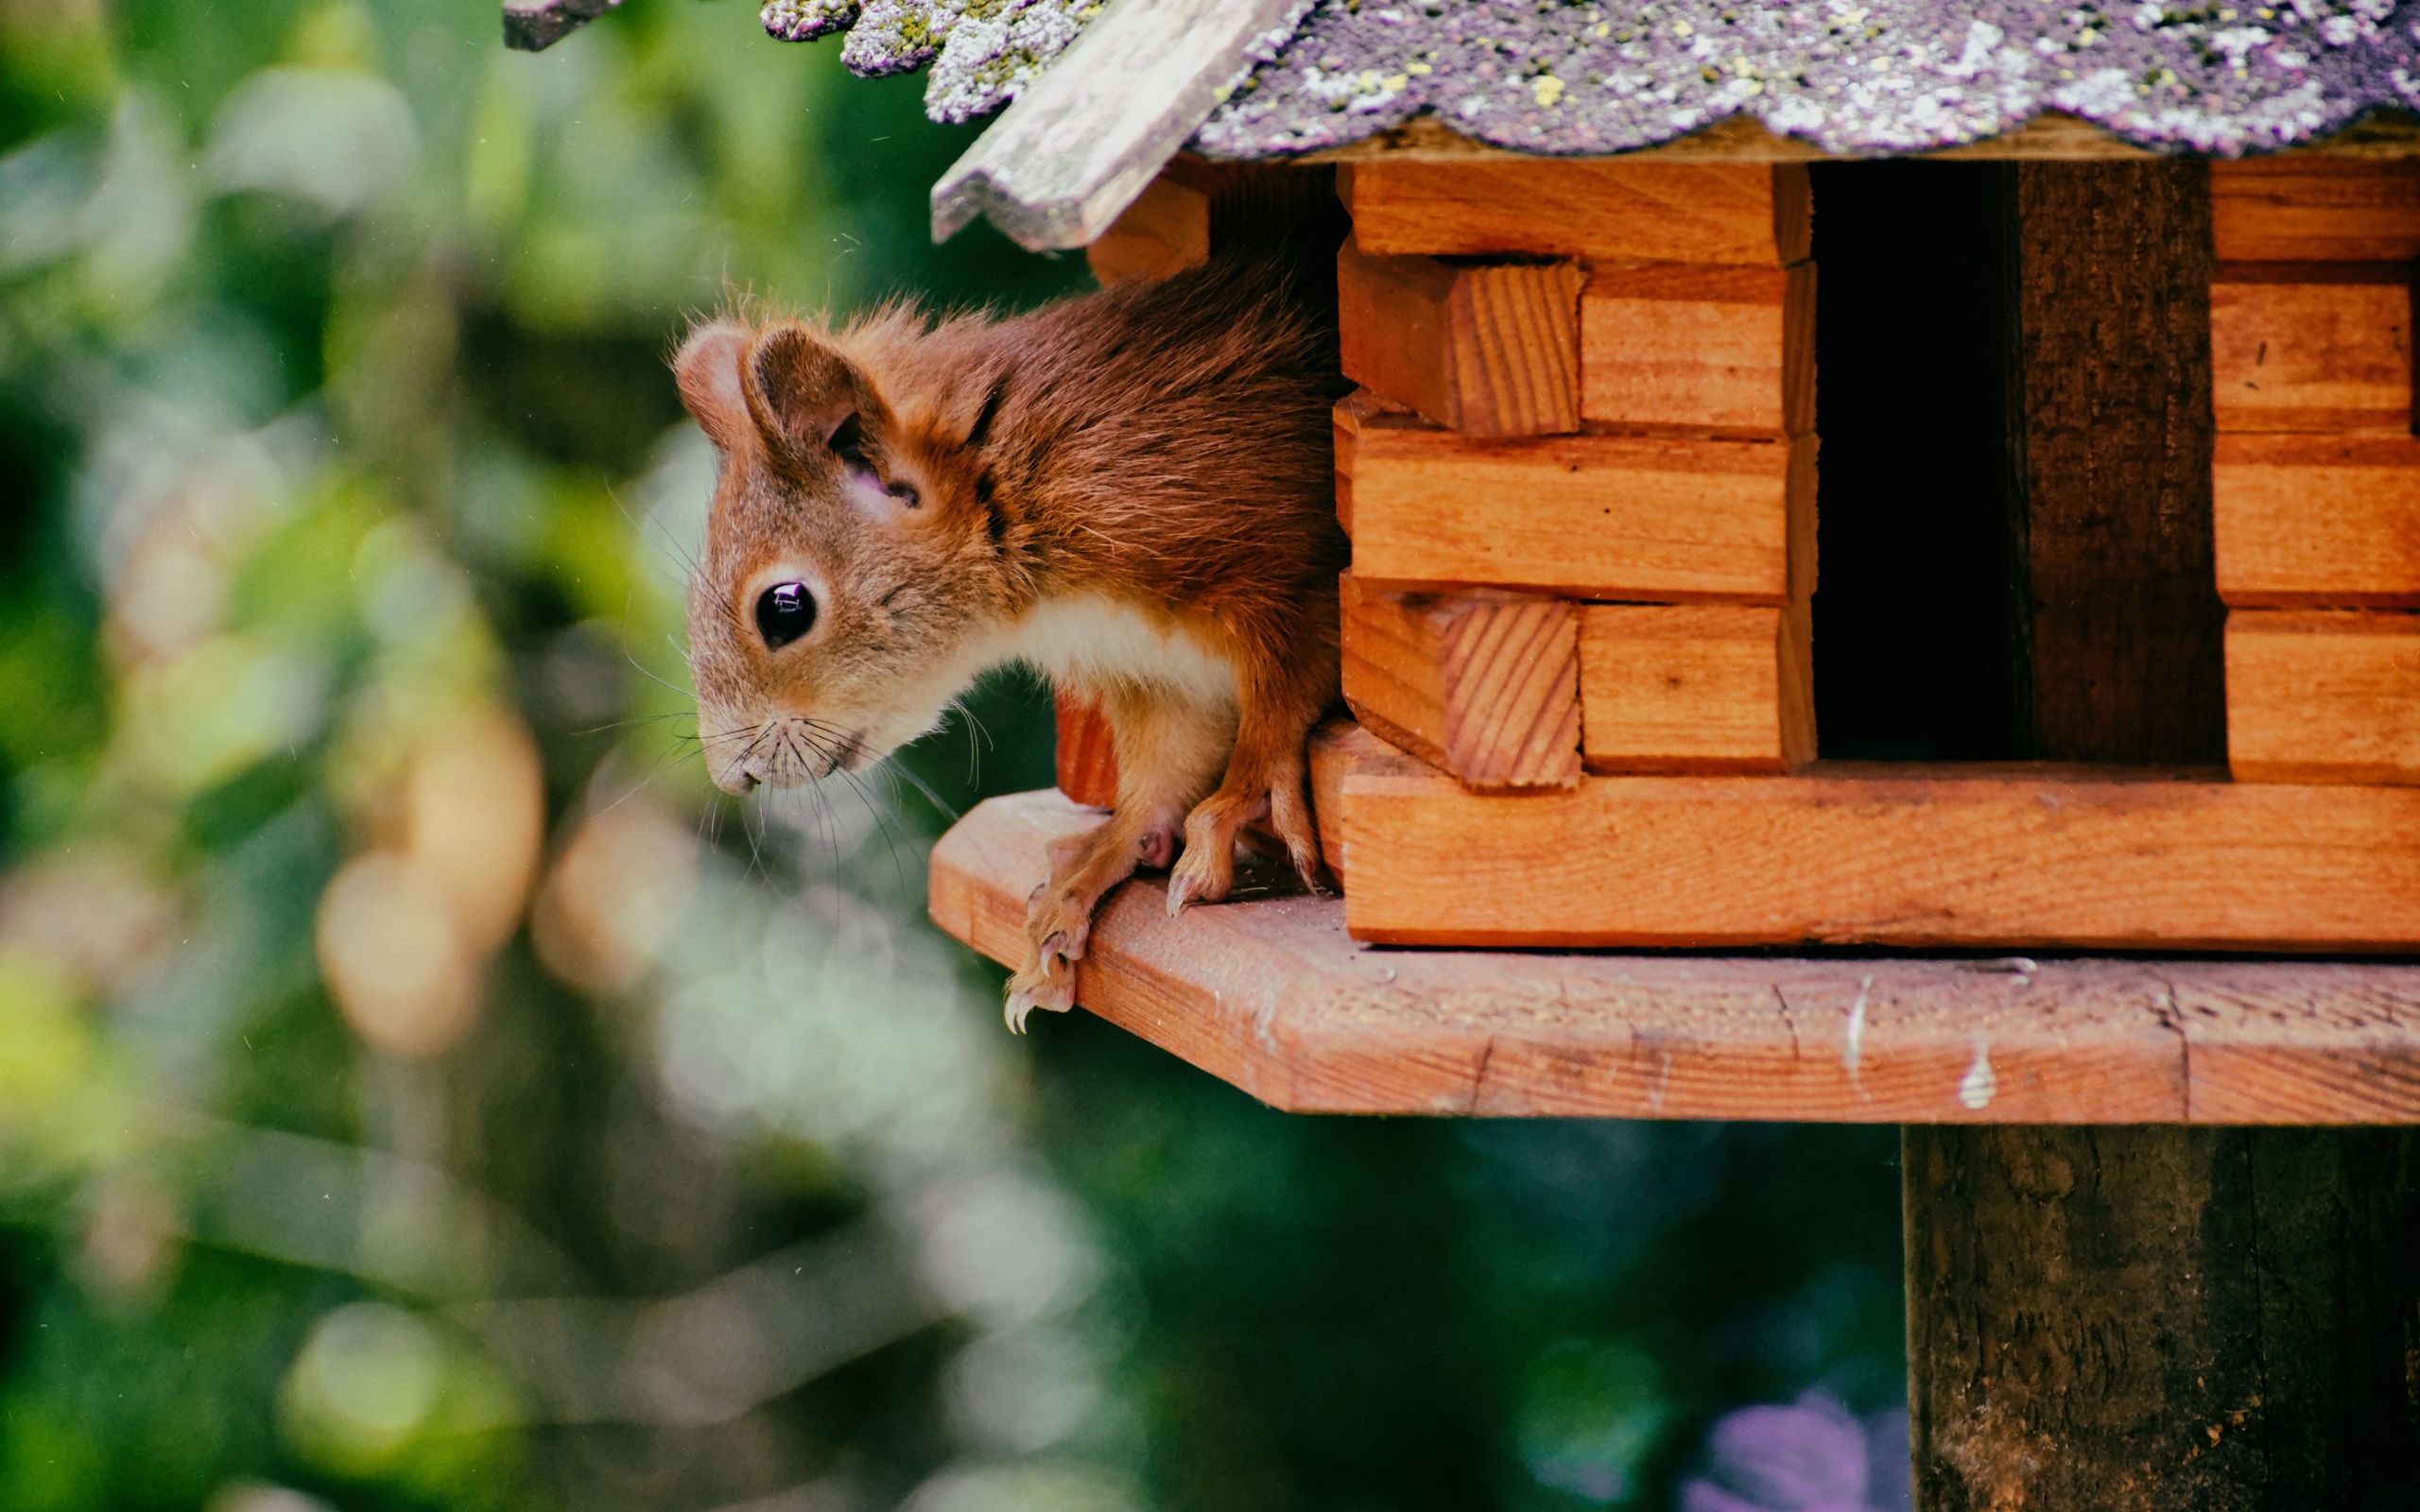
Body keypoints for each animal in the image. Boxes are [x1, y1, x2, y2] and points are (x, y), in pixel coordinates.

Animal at [672, 258, 1355, 1030]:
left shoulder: (1278, 567)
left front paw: (1244, 795)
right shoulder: (1161, 678)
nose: (734, 776)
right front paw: (1088, 873)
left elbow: (1285, 690)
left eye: (785, 607)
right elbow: (1164, 775)